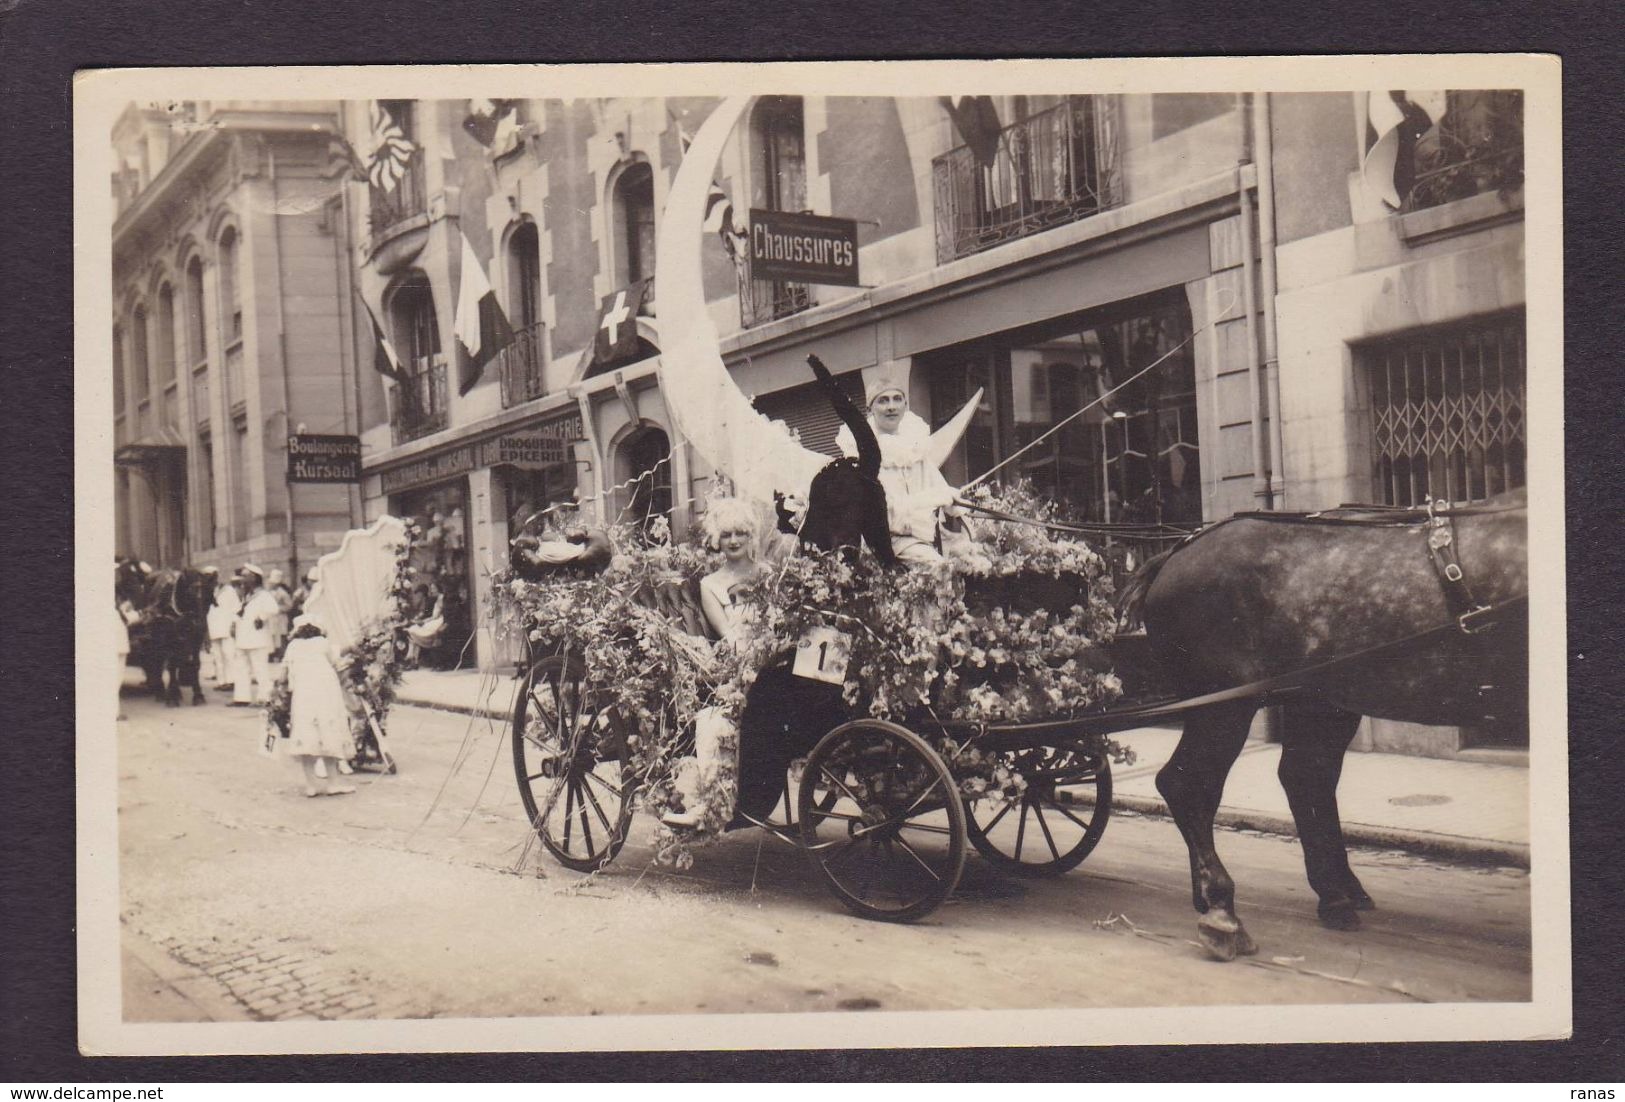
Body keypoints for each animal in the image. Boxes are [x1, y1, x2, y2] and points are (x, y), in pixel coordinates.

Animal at [1124, 497, 1527, 962]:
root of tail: (1176, 552)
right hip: (1225, 705)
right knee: (1187, 785)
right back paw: (1221, 908)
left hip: (1316, 699)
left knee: (1303, 780)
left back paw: (1332, 895)